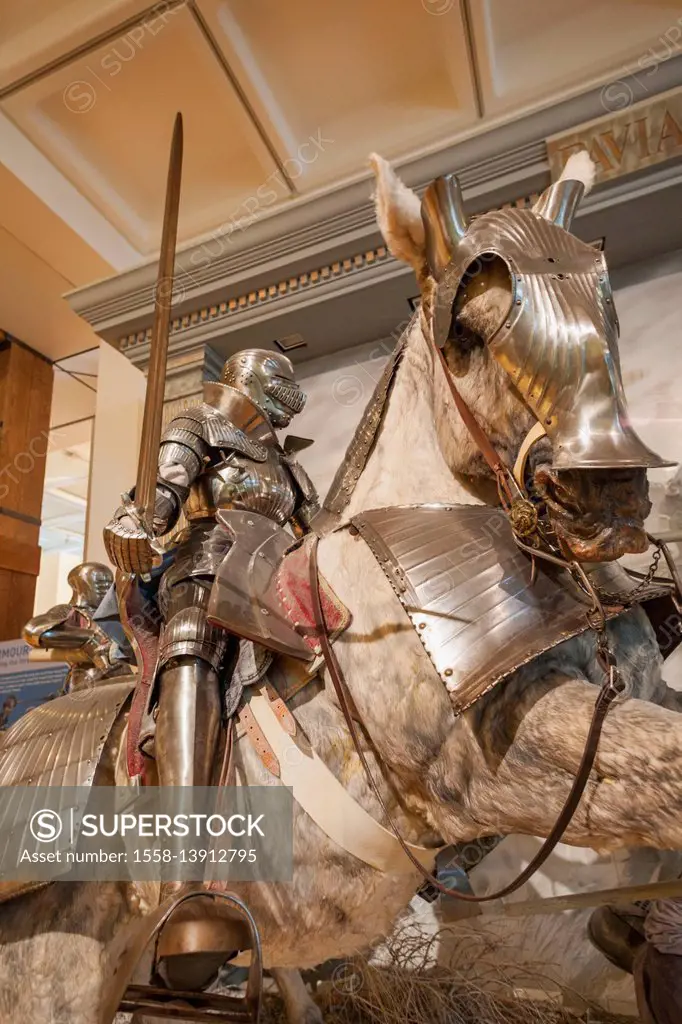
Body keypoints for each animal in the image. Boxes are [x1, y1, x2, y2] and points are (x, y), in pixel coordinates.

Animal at [1, 149, 679, 1024]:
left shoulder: (632, 699)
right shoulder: (510, 759)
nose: (607, 492)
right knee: (187, 650)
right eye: (469, 329)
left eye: (607, 306)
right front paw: (133, 532)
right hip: (50, 966)